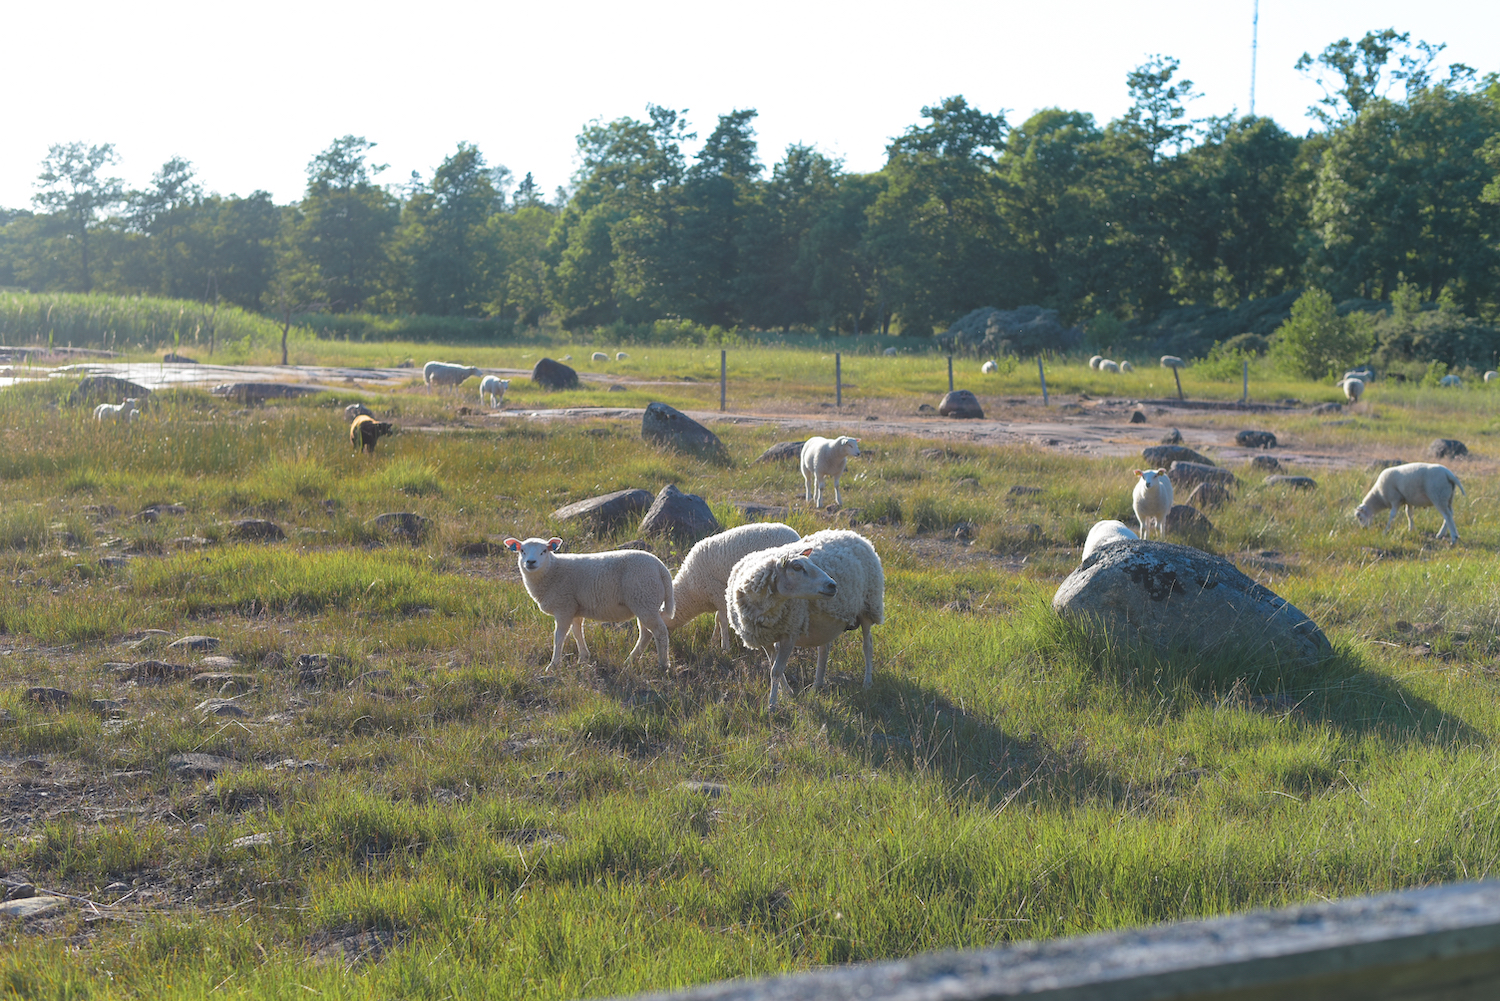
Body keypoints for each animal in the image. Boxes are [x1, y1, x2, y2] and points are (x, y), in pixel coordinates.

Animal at [504, 531, 675, 672]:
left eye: (544, 551)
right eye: (522, 551)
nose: (530, 562)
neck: (553, 570)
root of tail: (661, 567)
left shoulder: (564, 606)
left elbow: (559, 637)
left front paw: (553, 665)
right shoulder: (574, 607)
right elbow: (577, 632)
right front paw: (583, 658)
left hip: (644, 597)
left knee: (660, 631)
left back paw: (663, 665)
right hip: (644, 602)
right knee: (646, 633)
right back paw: (630, 661)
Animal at [669, 525, 804, 651]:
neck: (690, 591)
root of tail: (797, 538)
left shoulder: (718, 594)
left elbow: (722, 621)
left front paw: (725, 647)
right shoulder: (720, 599)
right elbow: (717, 619)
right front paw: (713, 641)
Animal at [729, 528, 882, 708]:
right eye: (797, 567)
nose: (833, 585)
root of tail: (853, 534)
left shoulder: (790, 632)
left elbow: (776, 670)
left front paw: (772, 704)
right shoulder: (764, 637)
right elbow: (774, 667)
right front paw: (787, 693)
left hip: (869, 605)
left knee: (868, 645)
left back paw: (867, 683)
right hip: (828, 621)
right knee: (824, 649)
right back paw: (817, 685)